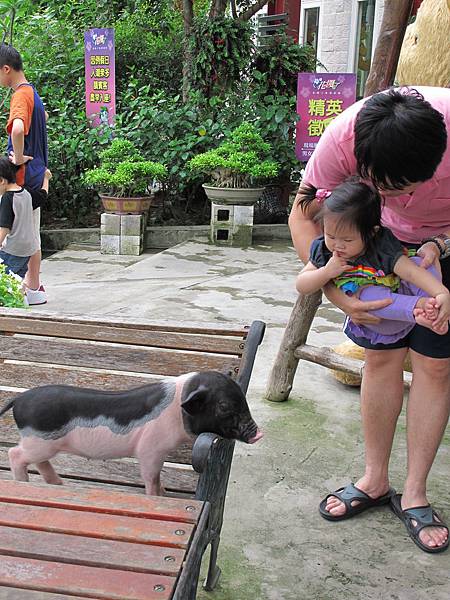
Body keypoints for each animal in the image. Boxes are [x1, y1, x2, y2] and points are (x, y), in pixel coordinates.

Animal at [0, 372, 262, 494]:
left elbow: (157, 476)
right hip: (39, 441)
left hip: (42, 444)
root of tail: (19, 399)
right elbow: (150, 475)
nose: (258, 433)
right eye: (224, 406)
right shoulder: (150, 449)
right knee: (15, 454)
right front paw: (157, 495)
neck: (177, 411)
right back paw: (23, 483)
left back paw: (58, 484)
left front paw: (163, 491)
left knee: (38, 461)